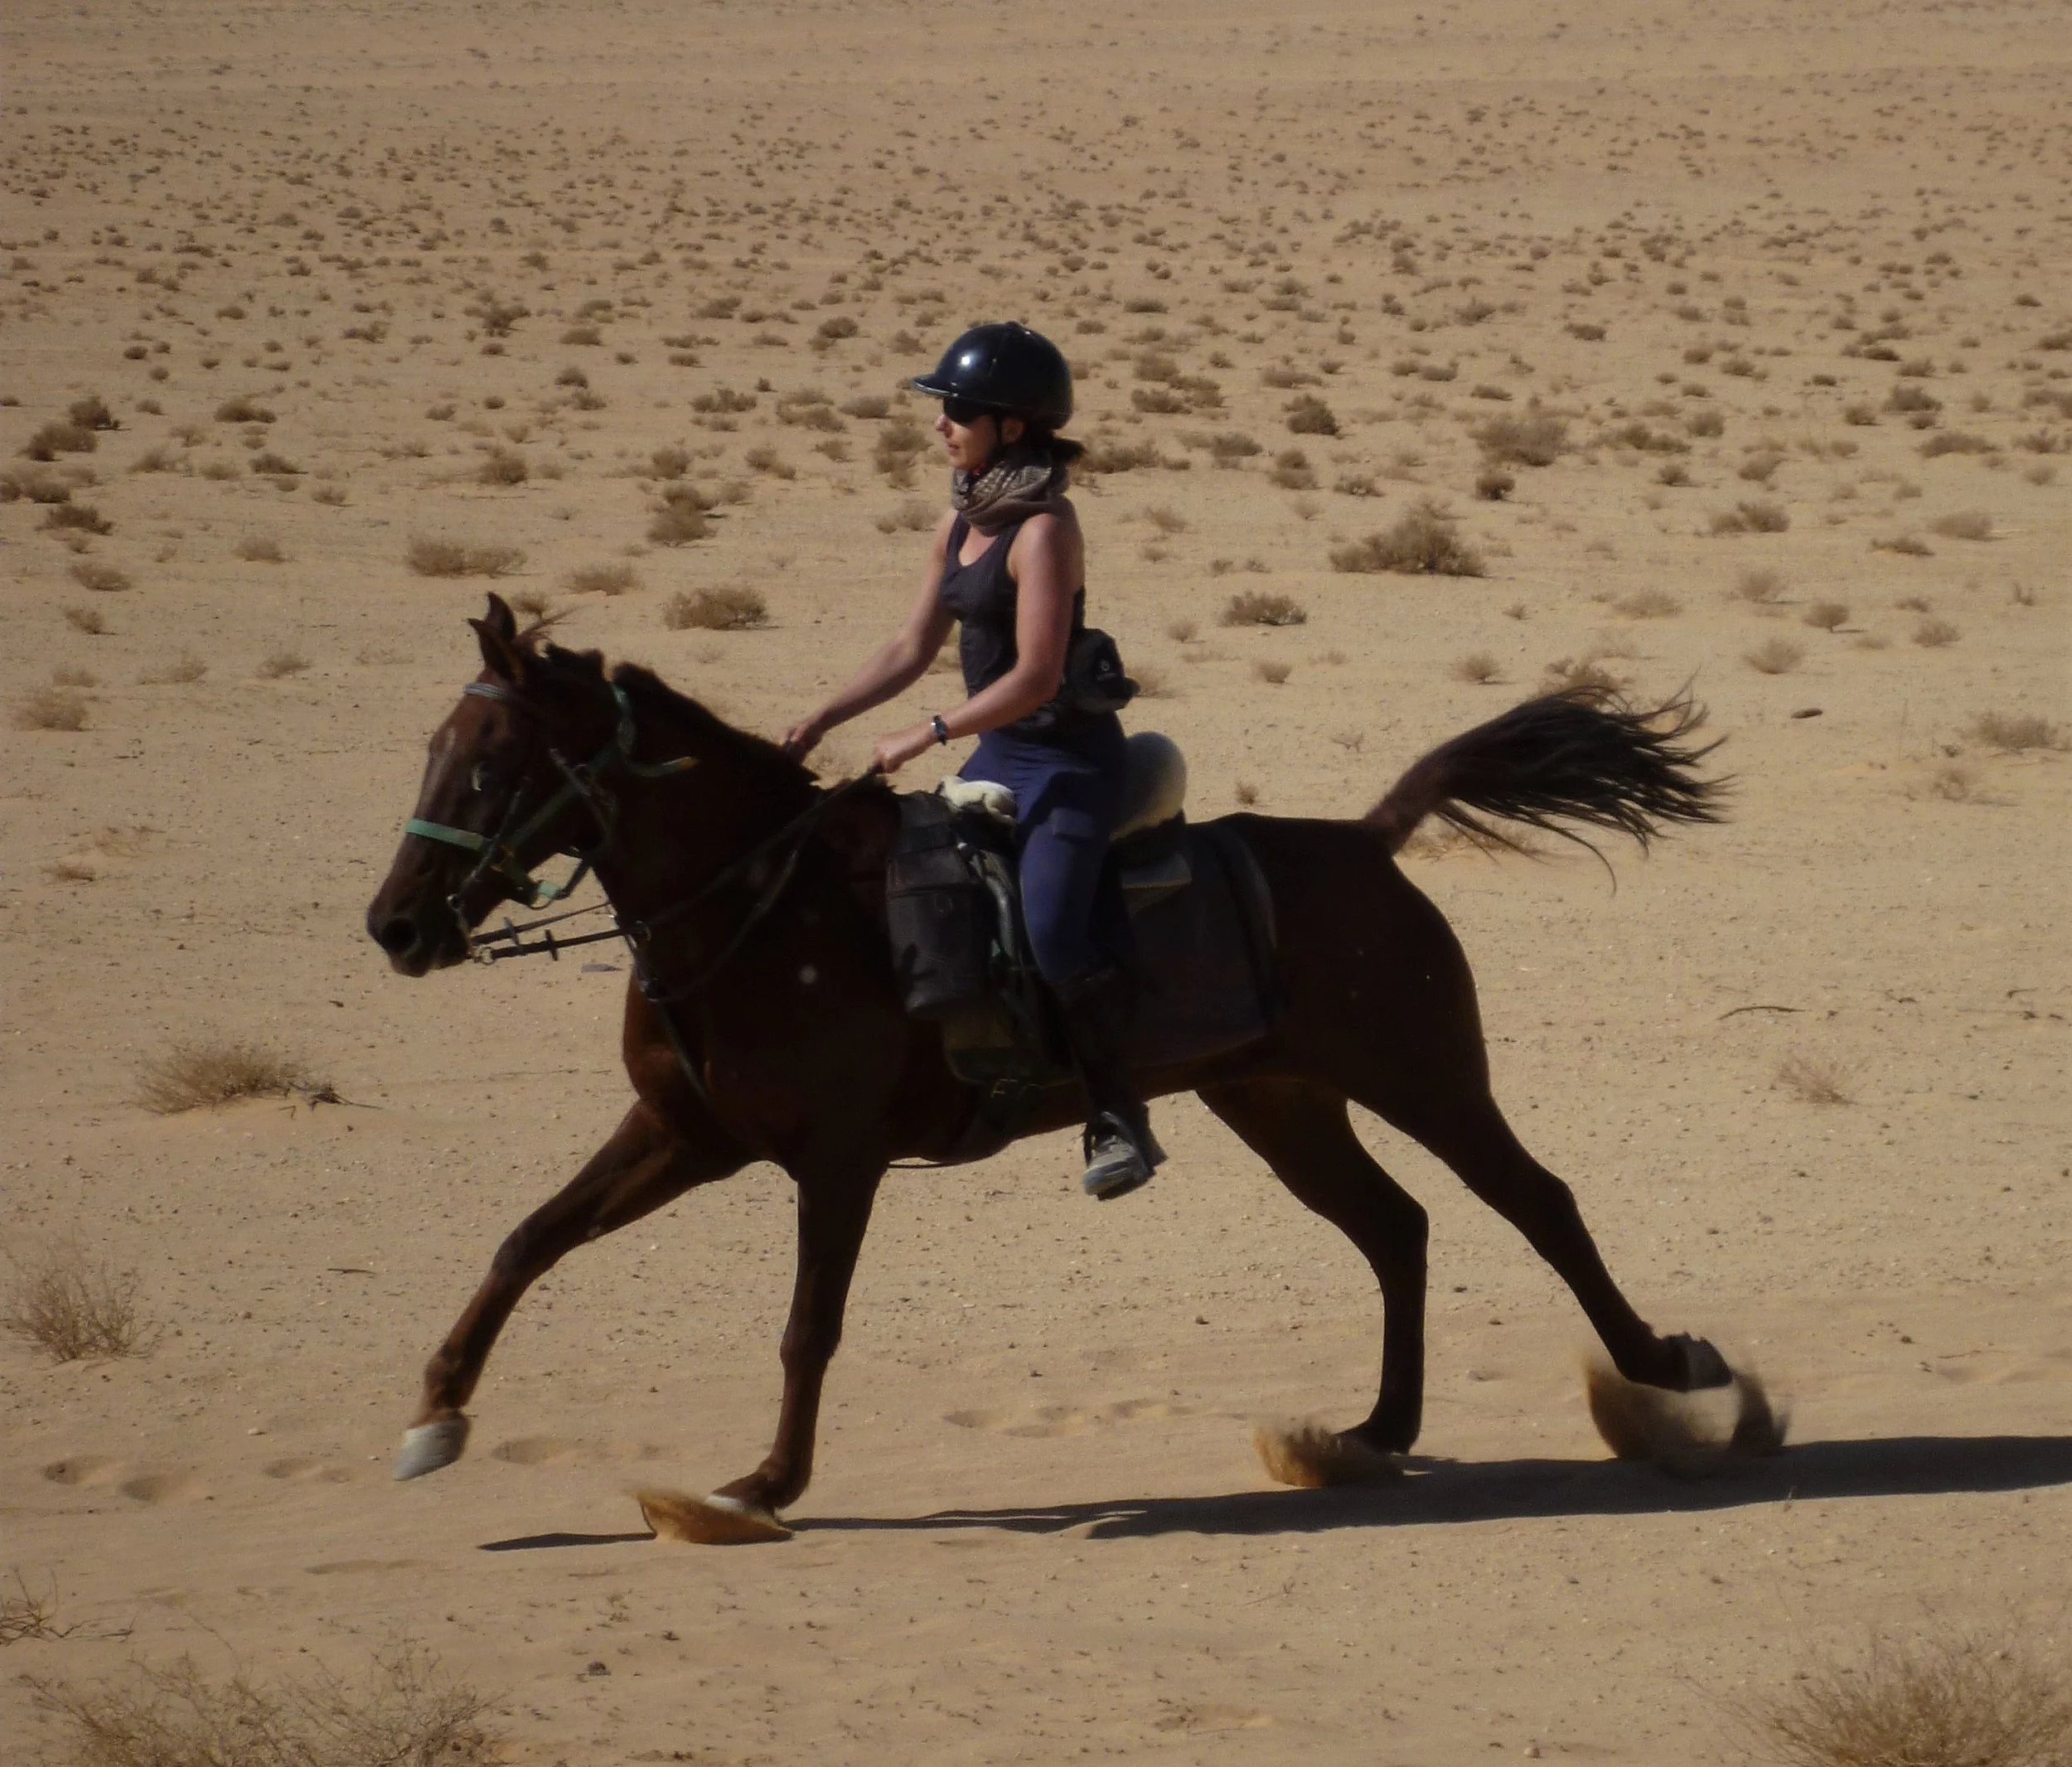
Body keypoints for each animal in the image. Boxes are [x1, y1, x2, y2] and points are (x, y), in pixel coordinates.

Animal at [366, 593, 1737, 1542]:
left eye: (490, 764)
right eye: (429, 746)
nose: (396, 928)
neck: (765, 906)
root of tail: (1366, 840)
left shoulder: (838, 1161)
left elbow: (809, 1326)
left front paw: (762, 1484)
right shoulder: (684, 1136)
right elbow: (527, 1243)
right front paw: (434, 1415)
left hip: (1426, 1077)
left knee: (1537, 1202)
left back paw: (1668, 1366)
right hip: (1279, 1101)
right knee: (1395, 1226)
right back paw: (1378, 1431)